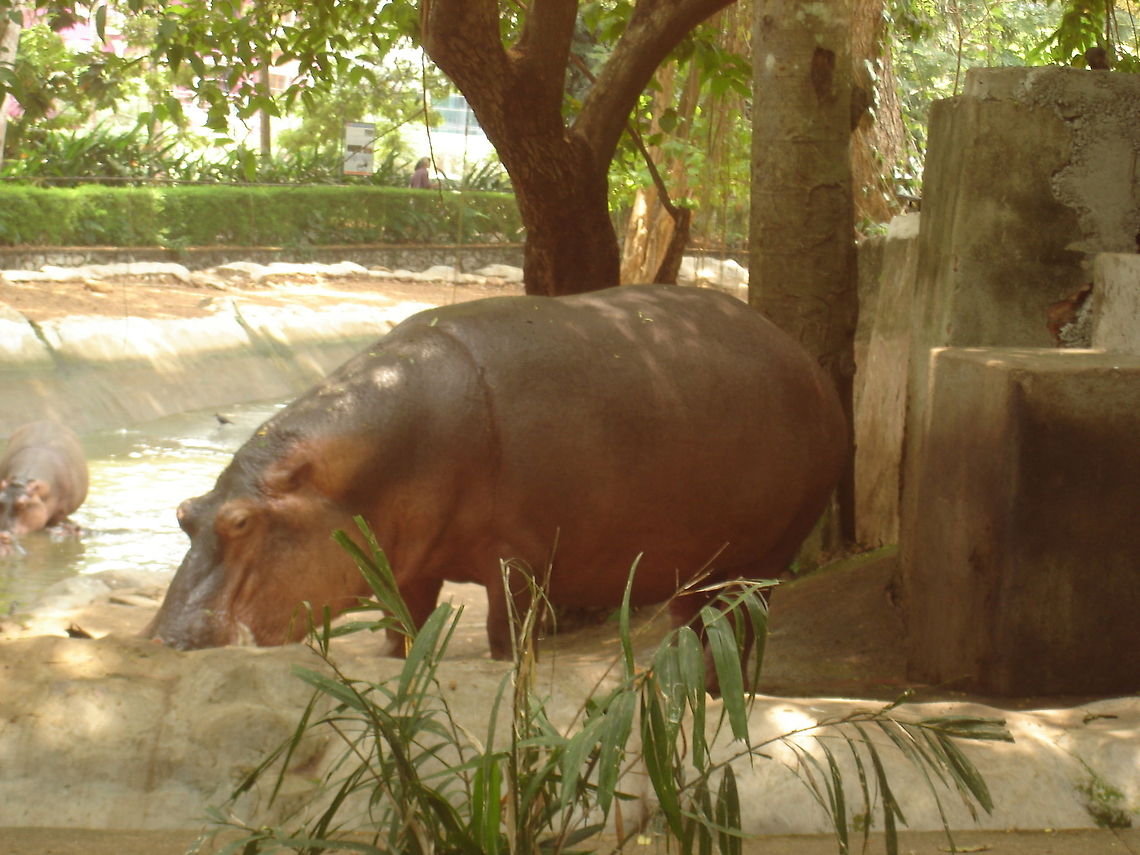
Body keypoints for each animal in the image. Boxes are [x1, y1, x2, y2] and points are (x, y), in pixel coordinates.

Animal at [146, 284, 846, 660]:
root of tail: (805, 361)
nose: (162, 640)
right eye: (184, 513)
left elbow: (505, 636)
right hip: (692, 567)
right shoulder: (406, 565)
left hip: (766, 557)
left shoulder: (517, 563)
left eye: (242, 522)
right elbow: (402, 630)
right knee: (693, 624)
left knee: (744, 627)